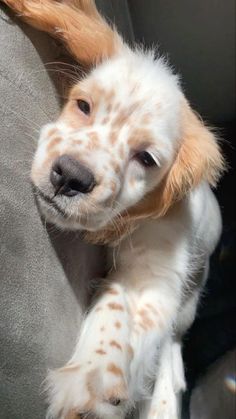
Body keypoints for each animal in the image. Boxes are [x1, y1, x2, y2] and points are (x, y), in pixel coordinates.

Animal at [1, 0, 226, 419]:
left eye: (147, 159)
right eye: (83, 105)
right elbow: (117, 299)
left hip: (192, 292)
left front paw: (90, 378)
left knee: (173, 342)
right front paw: (92, 374)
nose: (70, 177)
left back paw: (166, 398)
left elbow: (133, 308)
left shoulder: (157, 271)